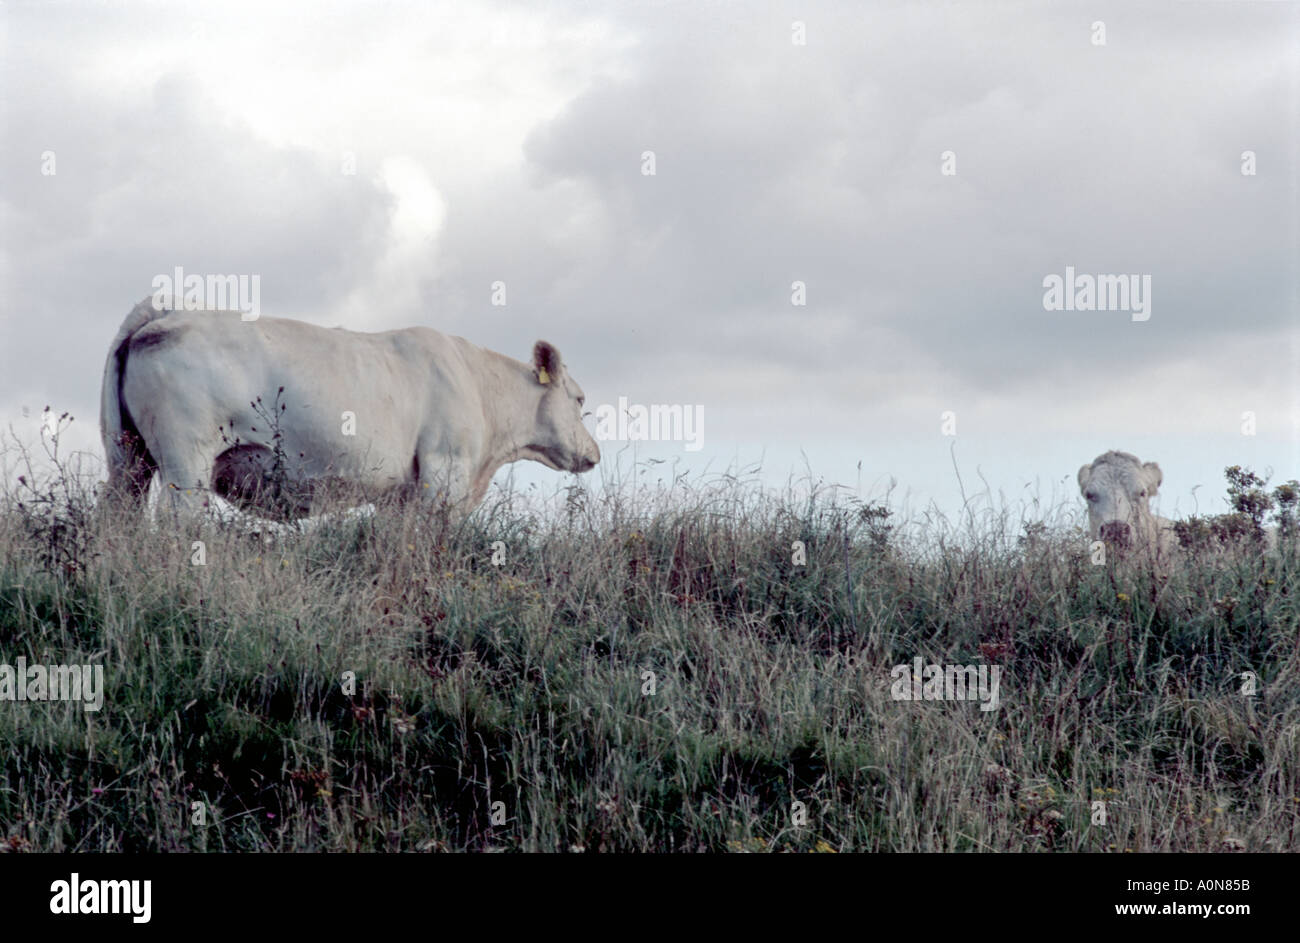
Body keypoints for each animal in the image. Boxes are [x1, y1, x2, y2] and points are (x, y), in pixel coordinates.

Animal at [100, 297, 600, 522]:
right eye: (579, 399)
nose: (594, 454)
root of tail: (166, 312)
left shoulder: (402, 493)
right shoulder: (445, 469)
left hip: (128, 459)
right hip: (187, 461)